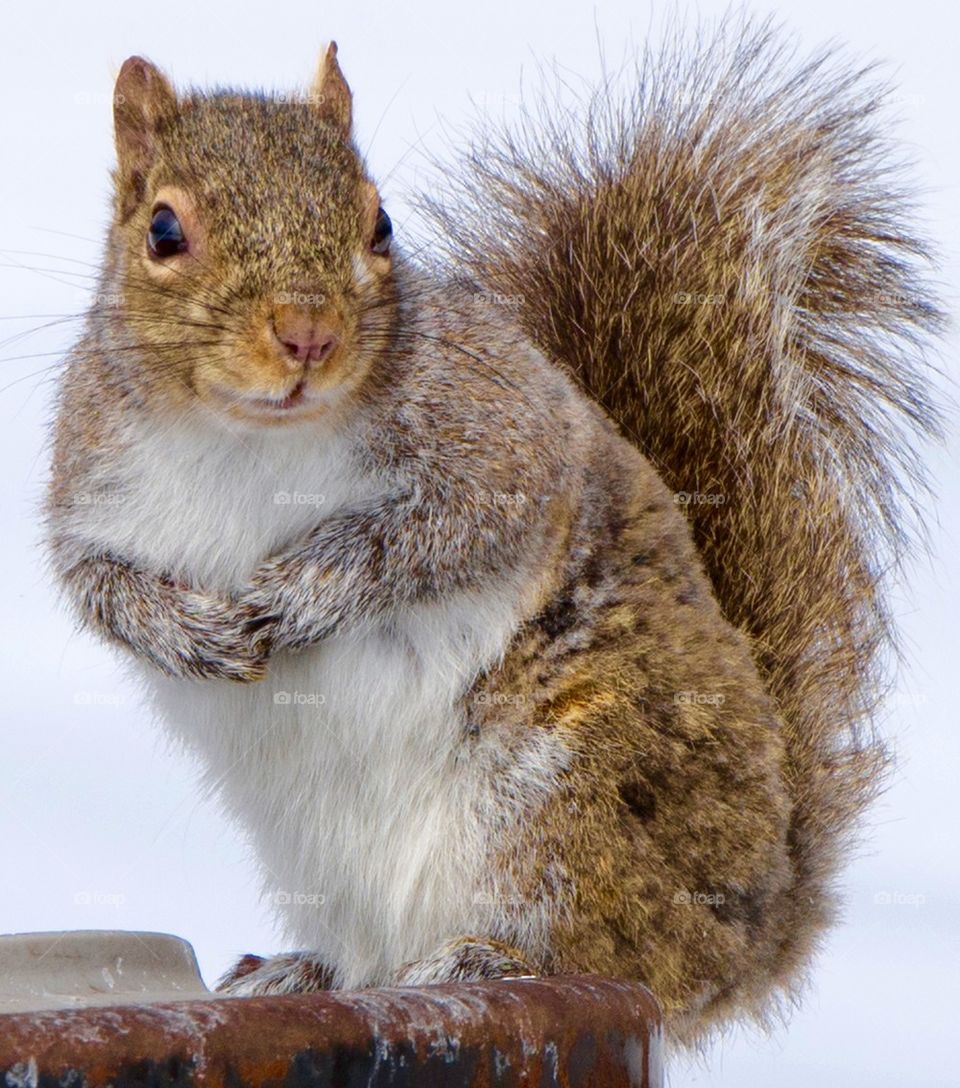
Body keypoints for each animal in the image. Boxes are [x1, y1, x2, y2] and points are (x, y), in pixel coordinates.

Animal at [45, 20, 942, 1047]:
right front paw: (184, 632)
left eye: (381, 224)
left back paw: (488, 958)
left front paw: (306, 590)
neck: (254, 440)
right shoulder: (90, 484)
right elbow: (99, 585)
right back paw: (301, 971)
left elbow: (434, 535)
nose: (307, 333)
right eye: (164, 230)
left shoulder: (504, 452)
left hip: (577, 790)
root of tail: (767, 919)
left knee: (631, 961)